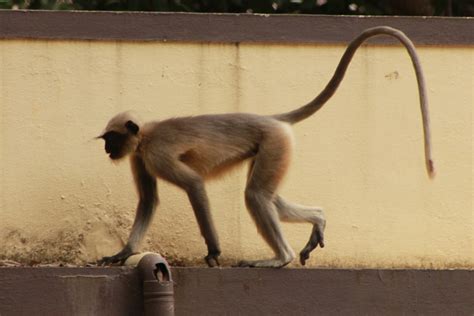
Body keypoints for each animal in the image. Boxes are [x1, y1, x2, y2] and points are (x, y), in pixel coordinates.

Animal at [98, 26, 436, 266]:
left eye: (111, 138)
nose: (106, 150)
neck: (145, 135)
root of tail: (272, 119)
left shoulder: (155, 153)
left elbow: (194, 184)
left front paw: (214, 250)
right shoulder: (139, 156)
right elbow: (148, 200)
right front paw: (123, 253)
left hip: (275, 144)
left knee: (256, 195)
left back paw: (280, 258)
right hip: (271, 149)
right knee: (268, 196)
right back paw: (317, 219)